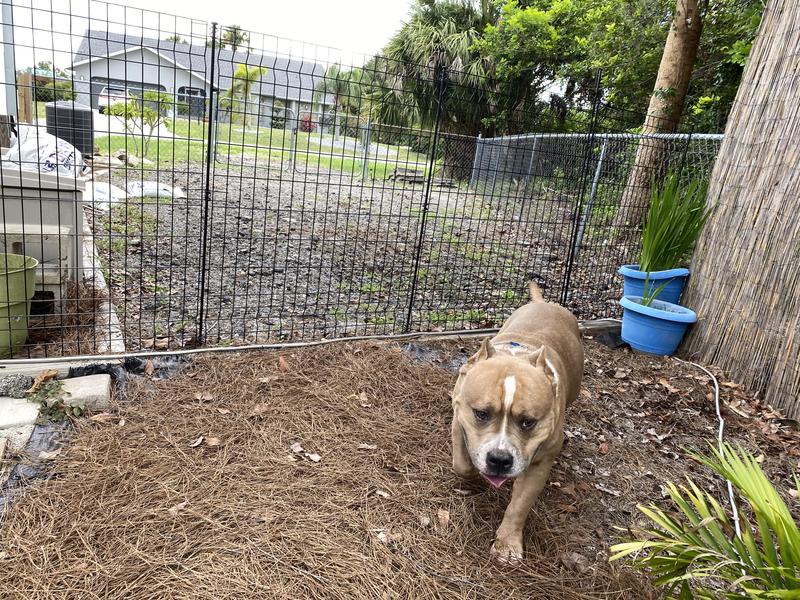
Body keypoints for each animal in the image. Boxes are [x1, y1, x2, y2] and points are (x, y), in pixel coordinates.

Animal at [450, 282, 580, 564]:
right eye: (481, 414)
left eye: (528, 422)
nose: (499, 460)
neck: (517, 356)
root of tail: (546, 303)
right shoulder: (459, 421)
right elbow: (462, 464)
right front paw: (474, 477)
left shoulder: (539, 463)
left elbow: (519, 505)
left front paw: (507, 543)